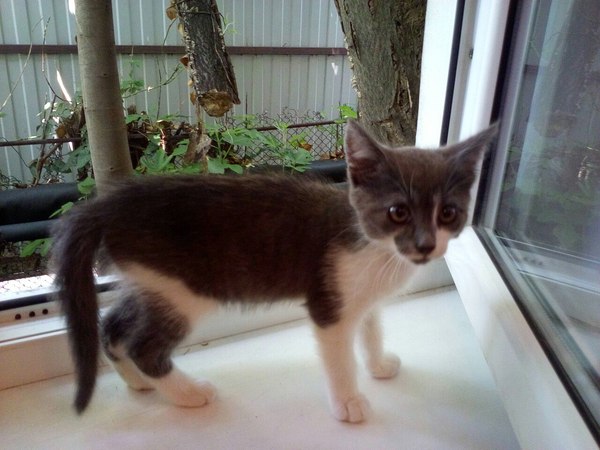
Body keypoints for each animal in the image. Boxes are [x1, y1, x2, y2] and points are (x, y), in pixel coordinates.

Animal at [51, 119, 494, 422]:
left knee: (113, 325)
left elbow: (371, 329)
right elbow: (340, 356)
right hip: (182, 289)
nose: (425, 245)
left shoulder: (364, 299)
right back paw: (188, 393)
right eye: (398, 213)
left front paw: (379, 364)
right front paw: (349, 401)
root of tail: (108, 205)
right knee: (144, 344)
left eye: (448, 213)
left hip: (151, 281)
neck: (377, 249)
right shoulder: (329, 302)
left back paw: (137, 381)